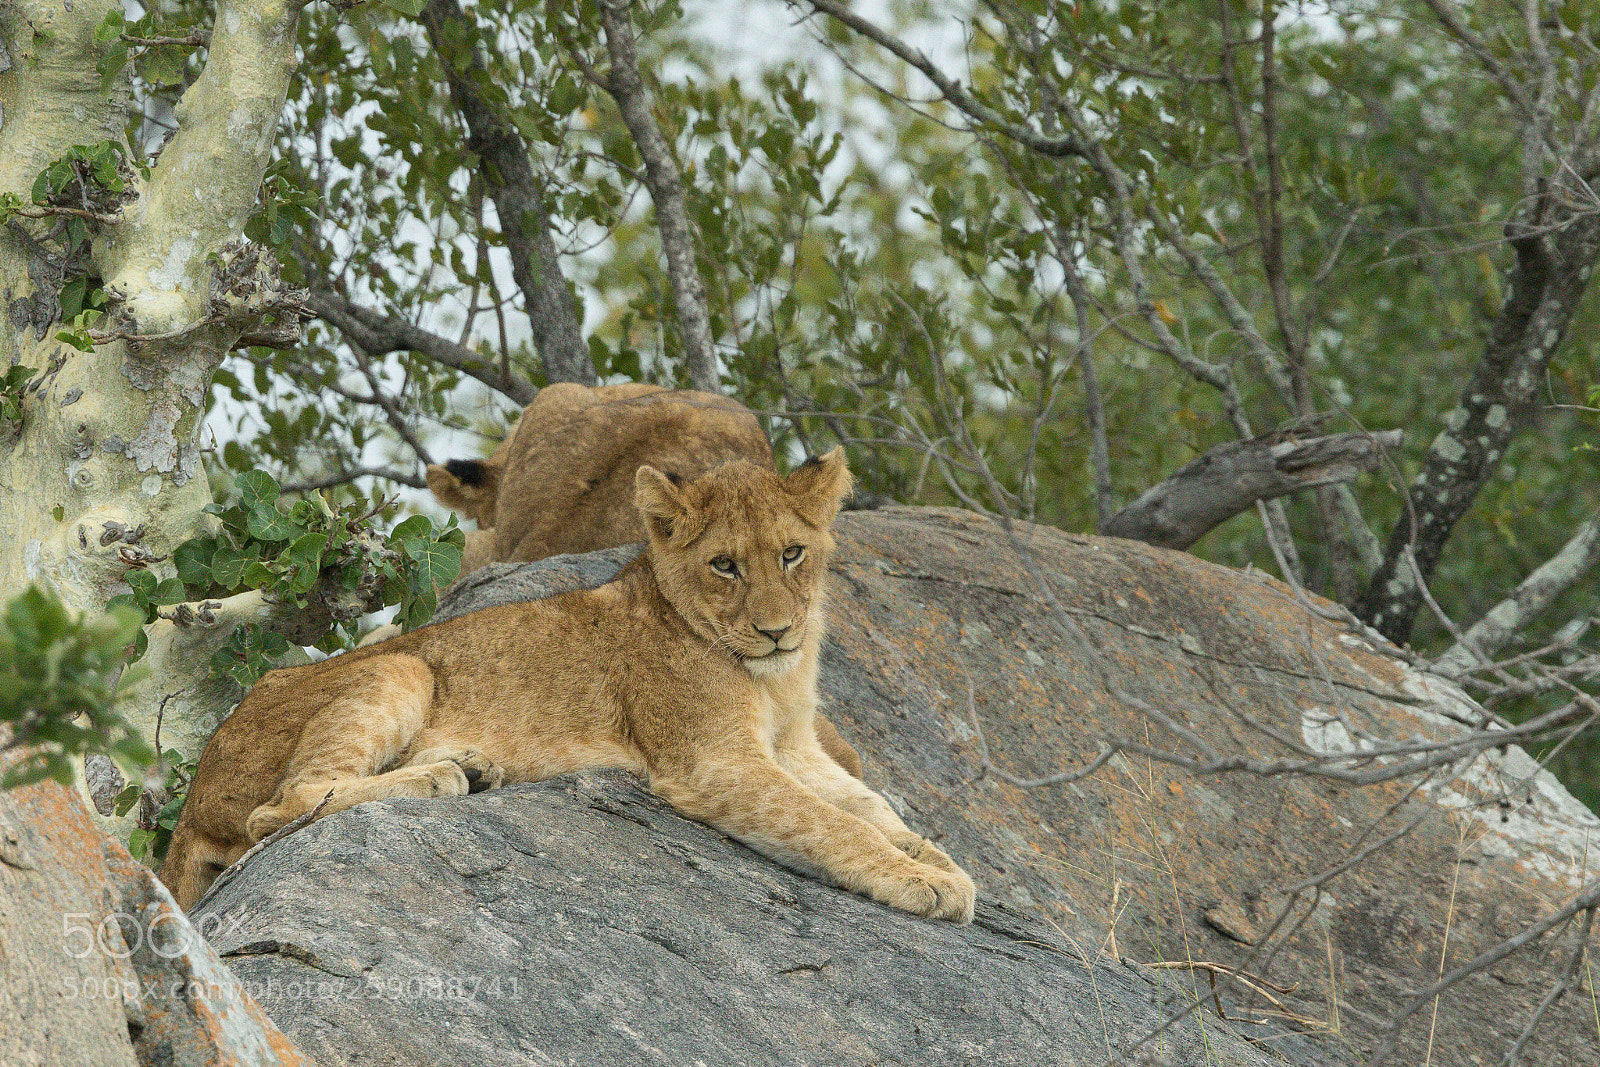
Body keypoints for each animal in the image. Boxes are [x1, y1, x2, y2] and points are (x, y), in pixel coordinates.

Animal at [160, 450, 975, 922]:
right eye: (725, 565)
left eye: (792, 554)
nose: (777, 631)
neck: (773, 679)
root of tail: (194, 793)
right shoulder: (713, 762)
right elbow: (829, 822)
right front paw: (924, 882)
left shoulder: (797, 747)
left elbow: (871, 804)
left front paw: (936, 859)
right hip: (402, 666)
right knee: (281, 808)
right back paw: (443, 776)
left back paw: (469, 767)